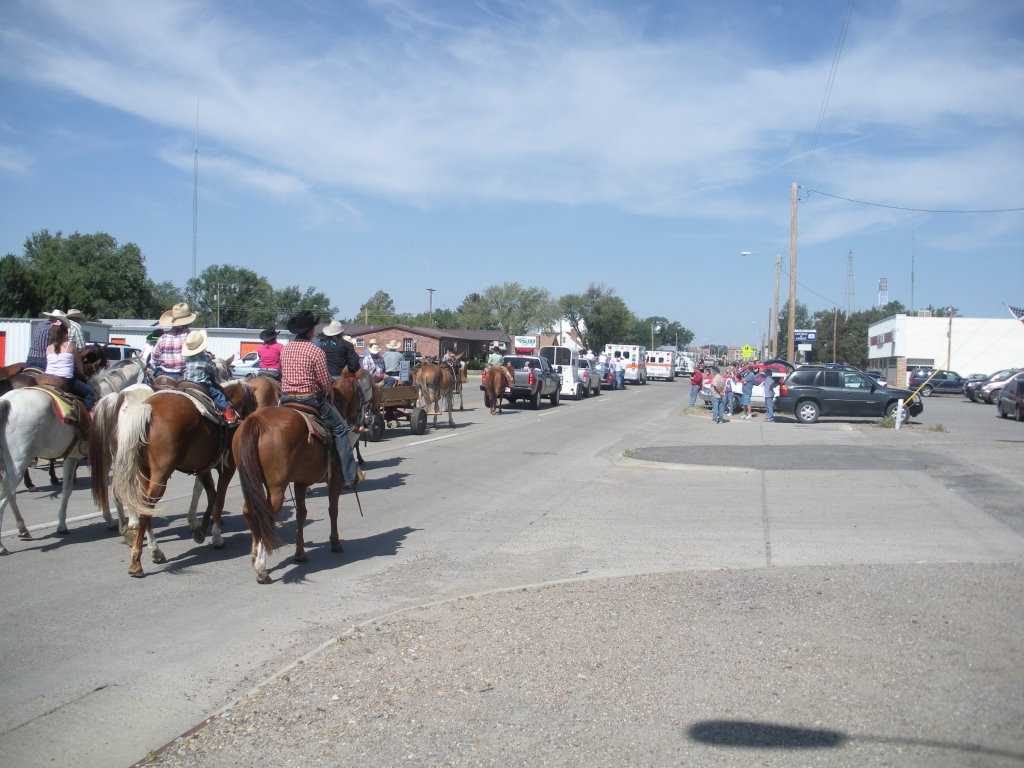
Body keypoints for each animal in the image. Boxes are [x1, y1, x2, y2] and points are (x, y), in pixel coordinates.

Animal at [110, 360, 256, 576]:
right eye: (253, 401)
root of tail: (147, 408)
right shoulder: (228, 467)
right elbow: (219, 498)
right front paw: (216, 536)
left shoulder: (203, 467)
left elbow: (211, 495)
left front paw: (200, 530)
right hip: (159, 475)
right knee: (146, 507)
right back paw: (137, 561)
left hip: (143, 472)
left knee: (141, 504)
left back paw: (154, 551)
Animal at [232, 404, 345, 584]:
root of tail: (255, 420)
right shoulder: (335, 479)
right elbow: (333, 510)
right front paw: (335, 542)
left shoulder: (300, 482)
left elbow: (301, 514)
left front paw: (300, 553)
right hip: (276, 487)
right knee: (265, 516)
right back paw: (261, 569)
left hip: (252, 481)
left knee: (250, 512)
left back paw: (255, 557)